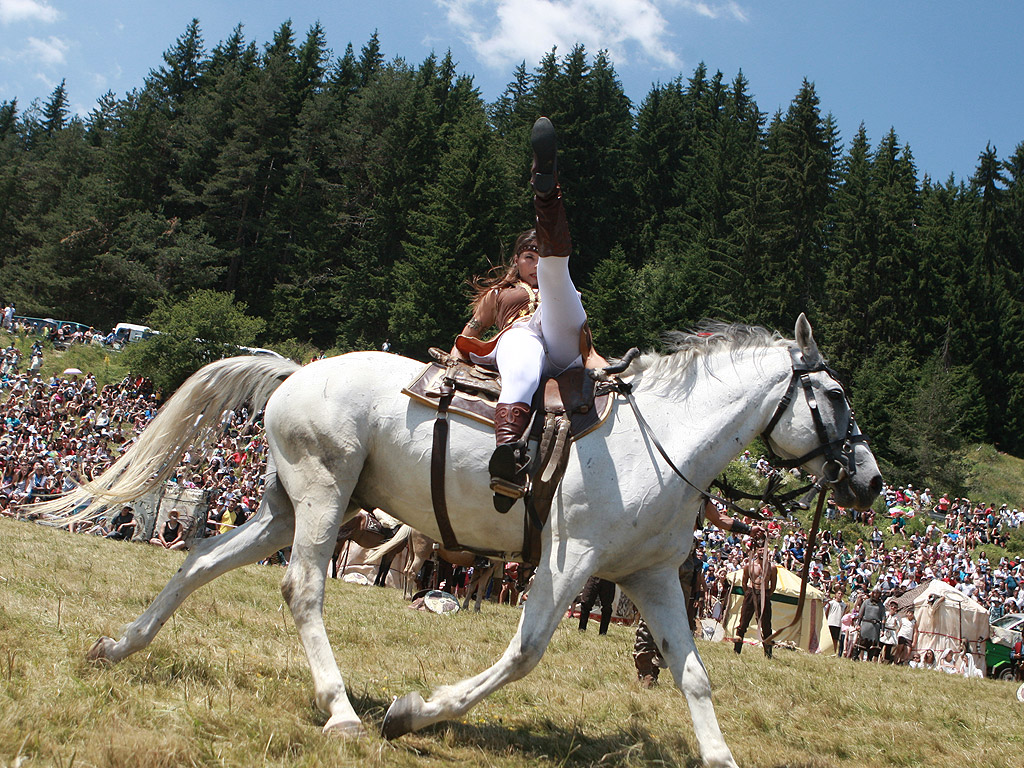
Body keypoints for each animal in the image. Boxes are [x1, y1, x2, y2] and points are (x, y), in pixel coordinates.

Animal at [41, 313, 880, 768]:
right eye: (835, 395)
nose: (870, 483)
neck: (661, 437)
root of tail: (294, 373)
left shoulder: (650, 576)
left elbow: (694, 676)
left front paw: (719, 752)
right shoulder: (568, 562)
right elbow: (523, 654)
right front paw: (416, 711)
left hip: (286, 507)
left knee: (202, 559)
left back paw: (119, 646)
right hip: (321, 499)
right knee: (302, 587)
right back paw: (341, 710)